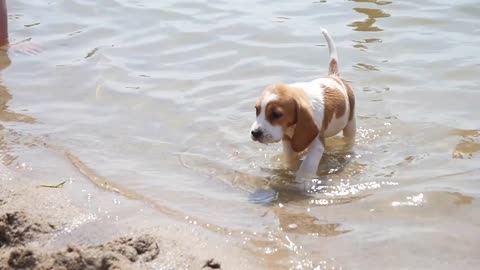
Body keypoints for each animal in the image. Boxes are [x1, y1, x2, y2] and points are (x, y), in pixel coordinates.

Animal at [249, 28, 354, 180]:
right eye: (257, 110)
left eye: (276, 114)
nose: (255, 133)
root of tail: (333, 77)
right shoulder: (288, 141)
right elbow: (290, 160)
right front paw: (288, 171)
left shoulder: (316, 144)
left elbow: (307, 166)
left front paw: (302, 180)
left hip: (351, 124)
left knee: (349, 139)